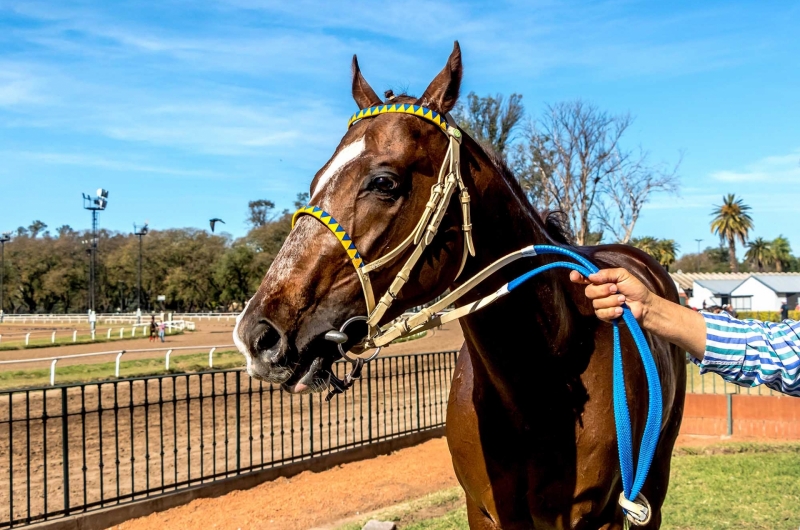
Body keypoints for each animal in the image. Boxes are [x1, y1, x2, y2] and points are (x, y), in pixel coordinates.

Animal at [233, 40, 688, 524]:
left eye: (383, 182)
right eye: (317, 180)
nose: (258, 335)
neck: (537, 389)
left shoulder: (604, 514)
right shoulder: (483, 510)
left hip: (654, 480)